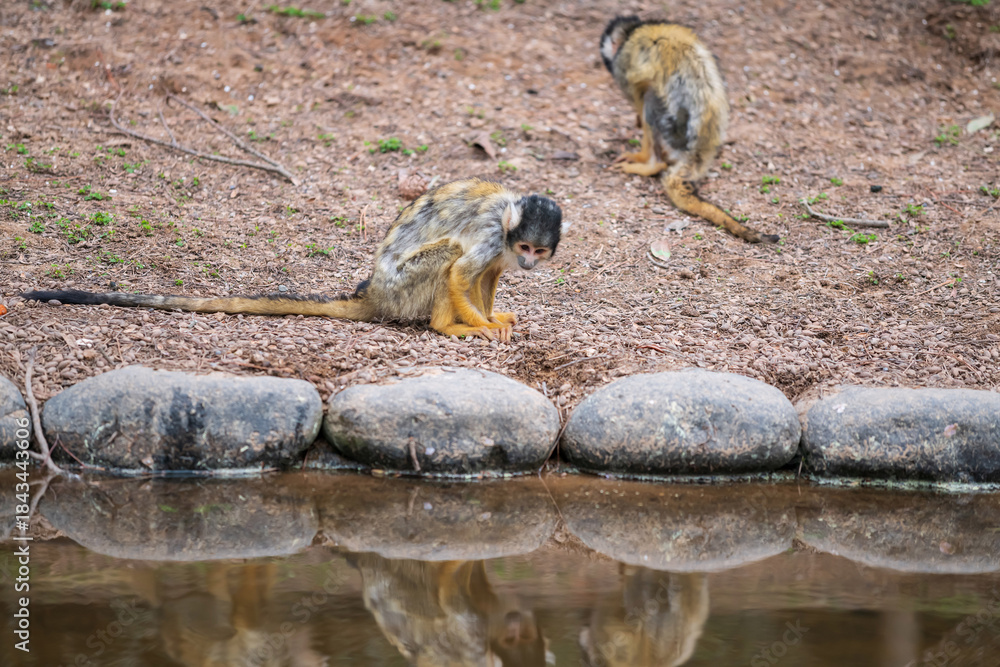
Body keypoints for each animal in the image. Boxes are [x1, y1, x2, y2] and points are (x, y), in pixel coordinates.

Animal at [21, 178, 567, 342]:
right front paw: (481, 326)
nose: (530, 263)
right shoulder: (492, 234)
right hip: (402, 287)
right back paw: (446, 325)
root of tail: (373, 292)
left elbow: (488, 276)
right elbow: (461, 270)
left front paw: (494, 315)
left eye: (538, 251)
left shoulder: (500, 249)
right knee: (449, 256)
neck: (508, 230)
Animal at [600, 16, 779, 244]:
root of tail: (697, 153)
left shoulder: (623, 63)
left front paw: (641, 152)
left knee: (650, 98)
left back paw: (652, 164)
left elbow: (639, 95)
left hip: (672, 129)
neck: (633, 32)